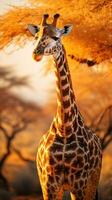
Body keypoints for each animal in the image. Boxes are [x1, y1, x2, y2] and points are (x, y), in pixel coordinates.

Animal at [27, 13, 102, 199]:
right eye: (36, 36)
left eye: (56, 37)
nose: (36, 54)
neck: (65, 128)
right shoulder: (49, 184)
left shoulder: (79, 183)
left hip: (92, 182)